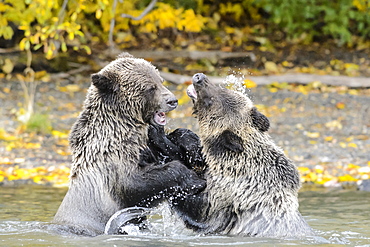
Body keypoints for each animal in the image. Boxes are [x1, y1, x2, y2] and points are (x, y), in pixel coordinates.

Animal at [52, 53, 205, 235]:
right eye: (150, 87)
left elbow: (169, 149)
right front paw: (194, 179)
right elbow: (135, 184)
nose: (172, 101)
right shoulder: (112, 161)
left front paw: (189, 144)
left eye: (161, 80)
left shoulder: (143, 147)